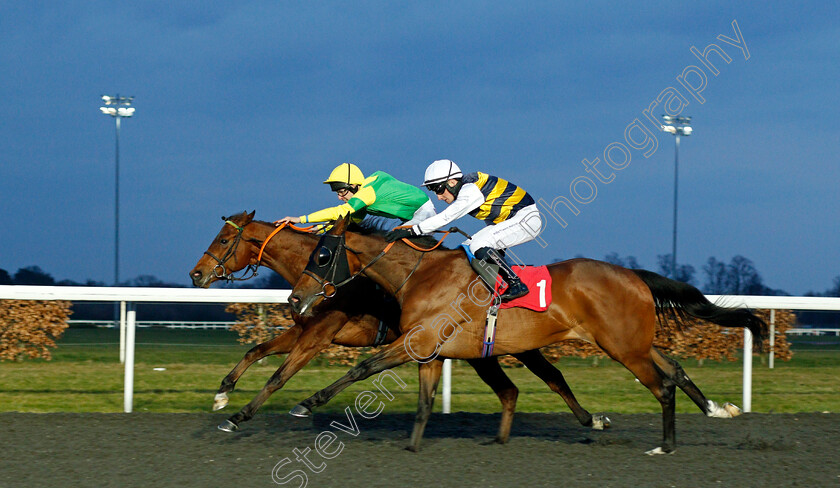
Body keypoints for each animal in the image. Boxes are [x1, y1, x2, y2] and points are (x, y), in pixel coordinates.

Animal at [190, 211, 612, 450]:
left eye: (224, 240)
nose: (196, 275)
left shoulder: (318, 336)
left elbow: (278, 376)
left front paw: (239, 415)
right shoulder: (304, 329)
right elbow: (256, 351)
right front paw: (223, 395)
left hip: (513, 344)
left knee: (553, 377)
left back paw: (592, 420)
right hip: (480, 352)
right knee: (511, 389)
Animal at [286, 216, 764, 454]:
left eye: (323, 256)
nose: (294, 299)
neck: (420, 274)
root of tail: (634, 276)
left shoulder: (414, 342)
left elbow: (363, 368)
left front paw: (306, 403)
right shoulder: (432, 351)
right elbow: (423, 402)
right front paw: (414, 446)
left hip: (624, 346)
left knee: (662, 385)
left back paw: (665, 446)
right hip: (630, 343)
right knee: (674, 367)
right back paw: (717, 409)